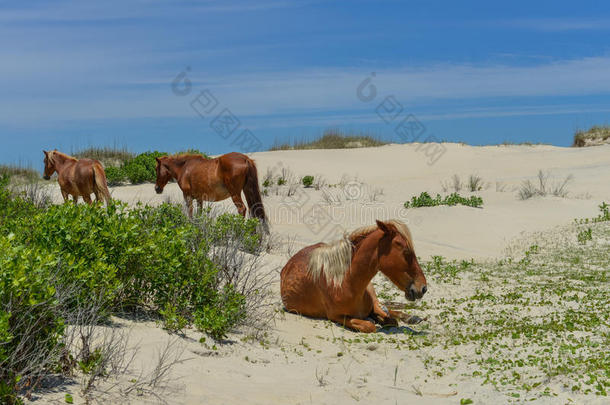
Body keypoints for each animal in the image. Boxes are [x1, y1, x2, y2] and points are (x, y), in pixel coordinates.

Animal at [280, 221, 426, 332]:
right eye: (406, 251)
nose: (423, 288)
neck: (345, 283)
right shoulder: (336, 316)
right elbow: (370, 325)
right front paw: (374, 320)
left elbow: (387, 318)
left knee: (382, 305)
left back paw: (411, 317)